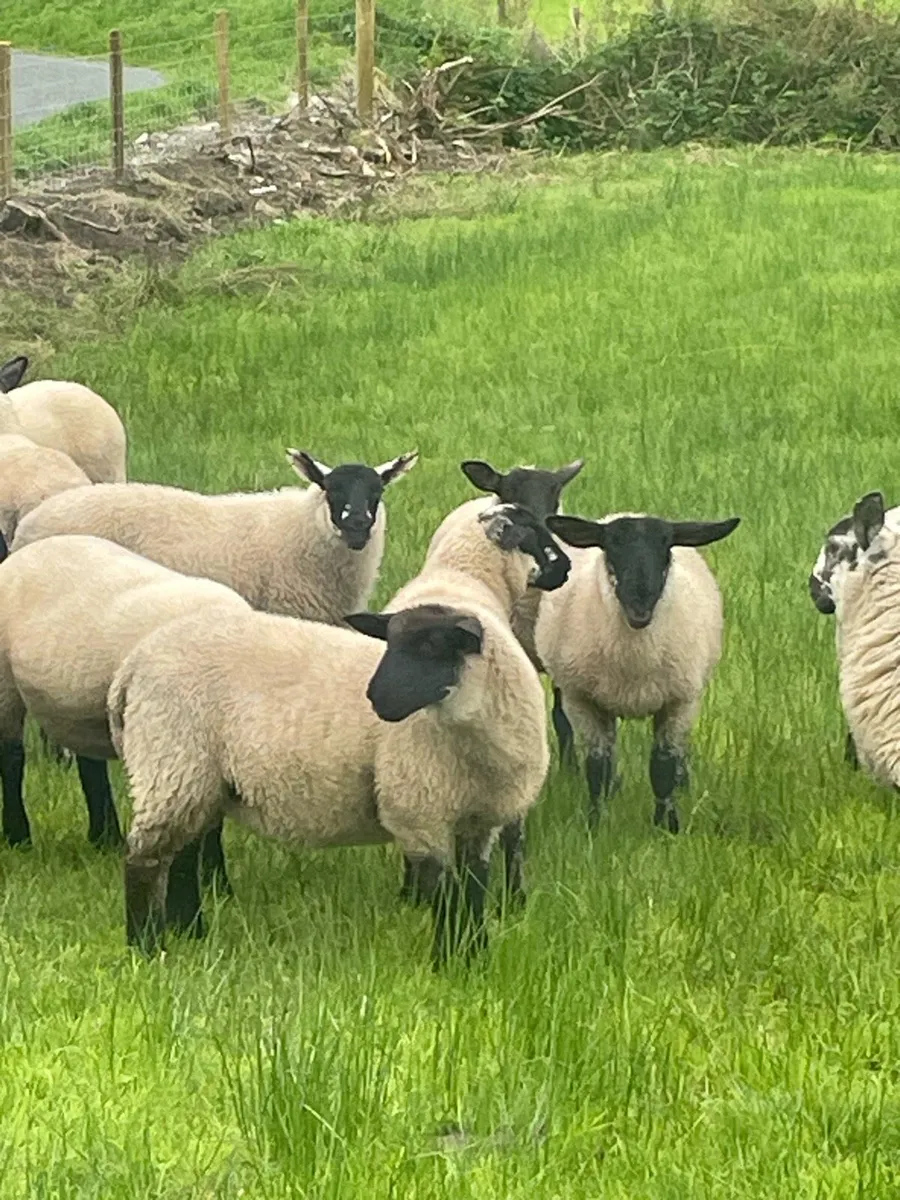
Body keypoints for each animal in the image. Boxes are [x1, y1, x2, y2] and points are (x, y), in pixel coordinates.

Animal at [0, 534, 250, 854]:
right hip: (5, 683)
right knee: (11, 758)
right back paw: (19, 837)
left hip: (78, 703)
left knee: (90, 765)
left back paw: (105, 836)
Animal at [108, 502, 570, 965]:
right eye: (536, 535)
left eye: (430, 648)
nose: (375, 698)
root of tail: (134, 663)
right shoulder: (419, 813)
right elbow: (446, 895)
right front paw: (448, 961)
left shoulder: (480, 821)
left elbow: (474, 890)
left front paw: (475, 955)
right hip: (172, 762)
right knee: (144, 860)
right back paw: (146, 947)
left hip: (196, 778)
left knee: (182, 857)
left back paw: (190, 933)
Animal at [537, 510, 740, 832]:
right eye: (612, 544)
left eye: (666, 546)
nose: (640, 602)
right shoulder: (583, 701)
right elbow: (598, 767)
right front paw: (595, 823)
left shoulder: (678, 701)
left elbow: (662, 767)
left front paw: (667, 826)